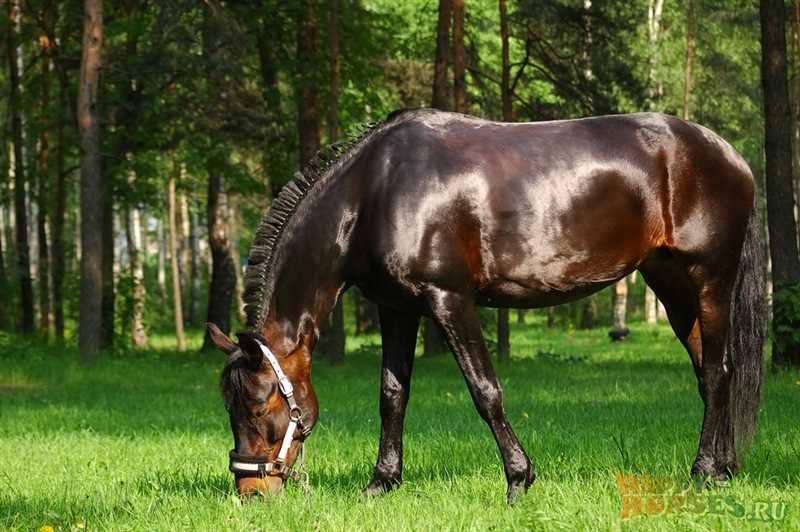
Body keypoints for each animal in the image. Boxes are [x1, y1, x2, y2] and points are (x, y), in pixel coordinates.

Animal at [206, 109, 764, 502]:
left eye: (258, 405)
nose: (251, 492)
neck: (375, 192)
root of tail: (730, 155)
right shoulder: (397, 310)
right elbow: (392, 395)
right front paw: (381, 483)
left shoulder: (450, 301)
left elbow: (484, 391)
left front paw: (519, 479)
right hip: (669, 283)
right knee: (711, 371)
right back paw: (725, 469)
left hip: (709, 279)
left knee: (718, 372)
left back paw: (703, 473)